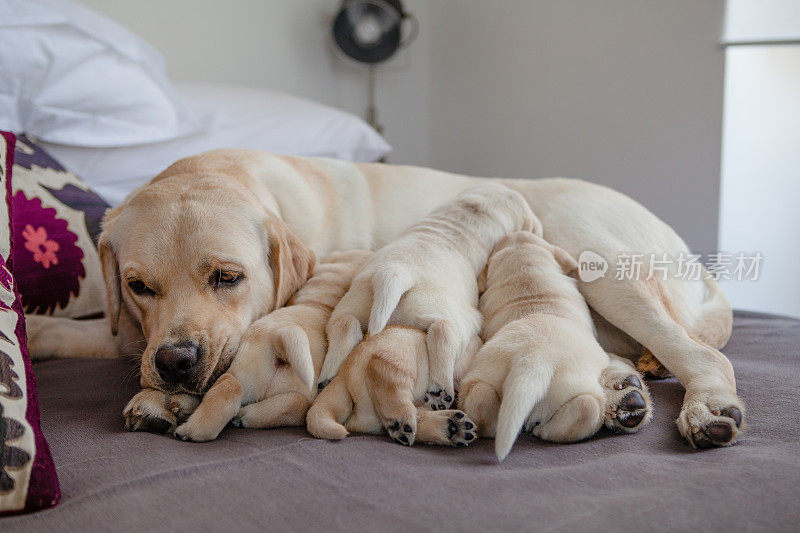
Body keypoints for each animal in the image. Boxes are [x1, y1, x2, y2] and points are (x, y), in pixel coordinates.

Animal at [173, 249, 372, 440]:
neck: (318, 303)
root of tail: (280, 345)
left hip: (240, 374)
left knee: (231, 388)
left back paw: (193, 429)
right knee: (294, 403)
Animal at [318, 184, 536, 412]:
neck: (474, 211)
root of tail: (395, 273)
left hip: (354, 303)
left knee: (345, 325)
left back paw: (327, 378)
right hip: (457, 317)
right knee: (443, 332)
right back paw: (440, 391)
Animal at [460, 231, 652, 460]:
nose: (515, 232)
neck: (526, 277)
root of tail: (533, 363)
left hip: (484, 376)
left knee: (481, 399)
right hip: (579, 394)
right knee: (586, 408)